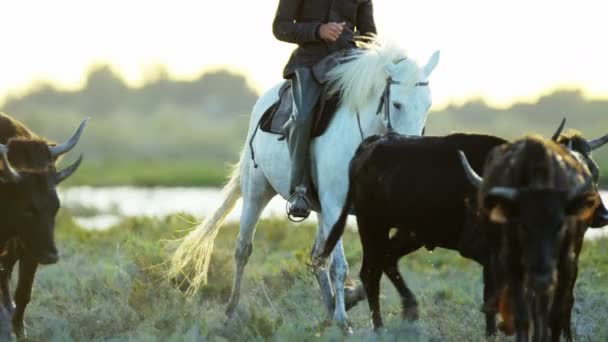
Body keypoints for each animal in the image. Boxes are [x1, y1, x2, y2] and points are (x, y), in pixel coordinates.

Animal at [0, 113, 88, 338]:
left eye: (55, 206)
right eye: (28, 210)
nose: (51, 255)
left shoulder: (31, 249)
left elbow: (23, 293)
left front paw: (20, 333)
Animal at [169, 36, 440, 328]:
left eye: (428, 105)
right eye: (397, 104)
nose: (410, 153)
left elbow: (379, 256)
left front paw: (352, 300)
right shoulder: (335, 205)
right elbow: (339, 265)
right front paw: (344, 320)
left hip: (318, 209)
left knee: (317, 256)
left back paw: (332, 305)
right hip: (256, 193)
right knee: (244, 249)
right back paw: (231, 312)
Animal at [316, 121, 604, 336]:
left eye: (595, 173)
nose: (602, 215)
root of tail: (372, 144)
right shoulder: (493, 256)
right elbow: (492, 299)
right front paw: (492, 334)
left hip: (409, 232)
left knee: (386, 261)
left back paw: (410, 308)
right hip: (371, 224)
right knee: (370, 272)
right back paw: (379, 328)